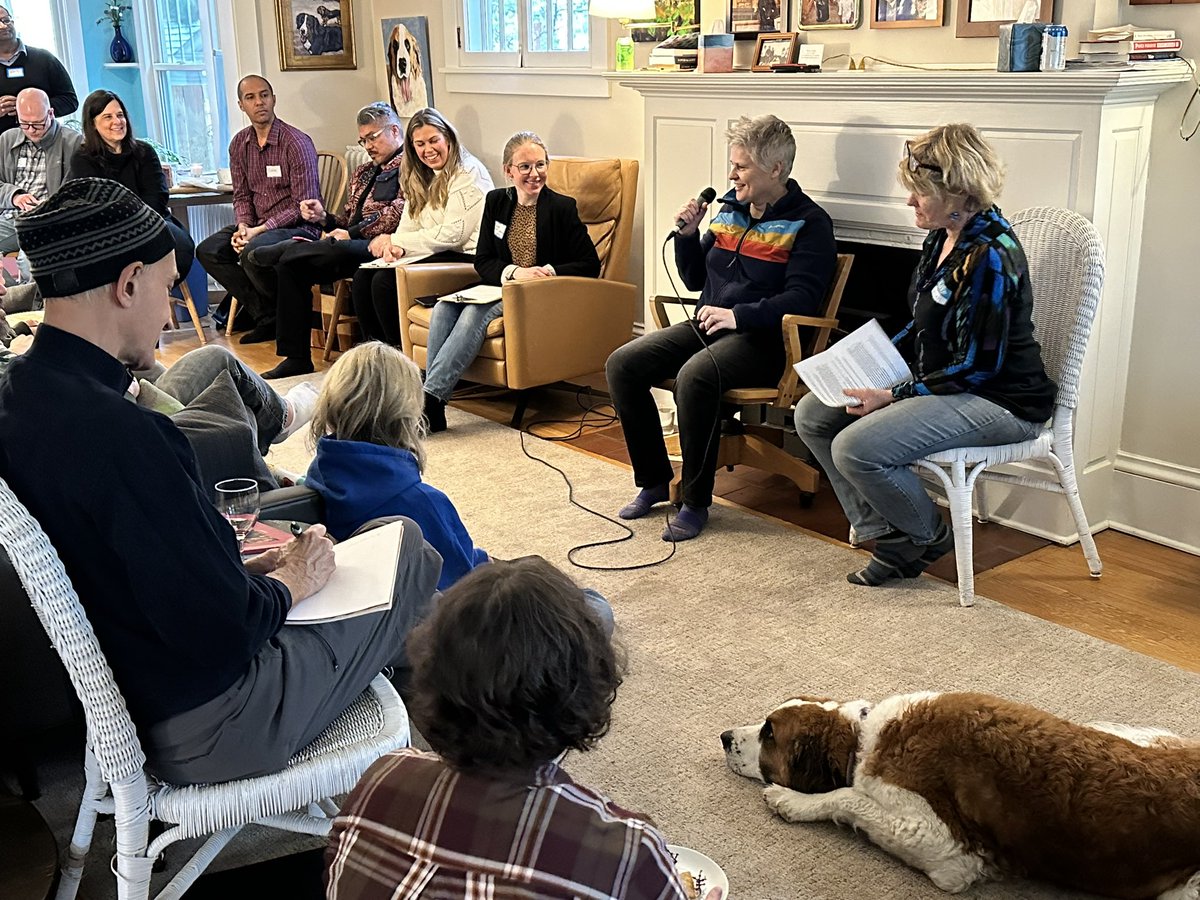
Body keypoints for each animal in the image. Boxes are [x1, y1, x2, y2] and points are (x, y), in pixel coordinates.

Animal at [720, 696, 1200, 897]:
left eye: (769, 734)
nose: (724, 736)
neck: (865, 735)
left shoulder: (947, 849)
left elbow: (846, 796)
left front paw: (791, 801)